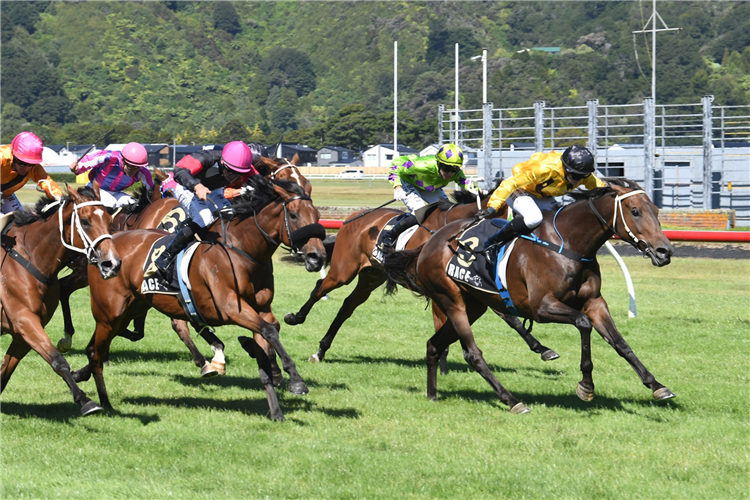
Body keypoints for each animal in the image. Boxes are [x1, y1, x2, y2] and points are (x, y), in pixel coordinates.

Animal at [0, 186, 120, 416]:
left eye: (110, 220)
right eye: (85, 221)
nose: (112, 263)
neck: (30, 258)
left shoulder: (23, 332)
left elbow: (5, 371)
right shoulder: (24, 320)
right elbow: (58, 360)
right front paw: (86, 401)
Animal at [71, 178, 326, 420]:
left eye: (317, 215)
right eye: (293, 215)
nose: (318, 257)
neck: (244, 251)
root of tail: (105, 247)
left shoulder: (261, 309)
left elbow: (268, 335)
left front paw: (276, 408)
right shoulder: (231, 308)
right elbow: (270, 330)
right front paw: (296, 381)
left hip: (127, 310)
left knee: (96, 347)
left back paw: (81, 375)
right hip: (109, 313)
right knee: (97, 351)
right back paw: (103, 401)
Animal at [284, 189, 560, 366]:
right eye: (518, 214)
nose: (536, 238)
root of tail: (353, 218)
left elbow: (510, 318)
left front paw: (543, 349)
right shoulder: (443, 287)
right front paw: (445, 356)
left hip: (371, 275)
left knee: (347, 306)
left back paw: (321, 350)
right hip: (344, 269)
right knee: (320, 287)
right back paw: (296, 318)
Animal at [384, 180, 680, 414]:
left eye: (656, 211)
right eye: (635, 211)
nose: (664, 252)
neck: (568, 244)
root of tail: (427, 244)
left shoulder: (595, 302)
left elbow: (620, 343)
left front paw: (657, 385)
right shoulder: (541, 307)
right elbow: (583, 324)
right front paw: (586, 385)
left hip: (474, 305)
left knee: (434, 344)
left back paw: (433, 394)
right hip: (452, 300)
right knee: (472, 353)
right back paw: (512, 400)